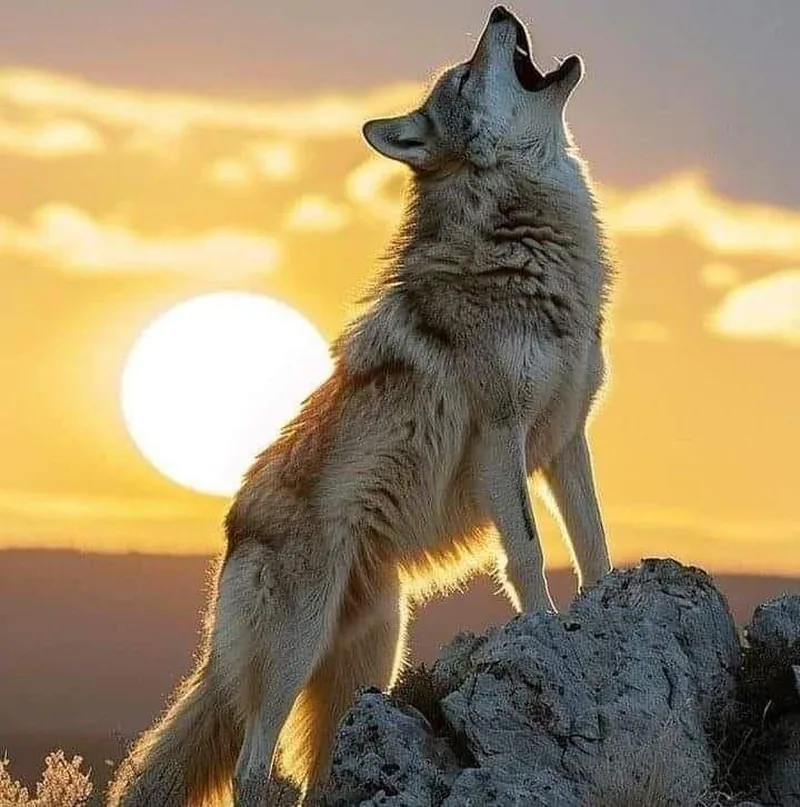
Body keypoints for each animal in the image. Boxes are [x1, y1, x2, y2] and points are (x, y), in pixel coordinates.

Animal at [108, 6, 614, 805]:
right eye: (464, 76)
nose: (500, 13)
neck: (533, 244)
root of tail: (232, 530)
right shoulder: (501, 435)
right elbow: (530, 552)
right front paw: (545, 631)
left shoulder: (565, 438)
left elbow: (594, 540)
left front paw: (608, 610)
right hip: (300, 643)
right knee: (252, 765)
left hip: (373, 653)